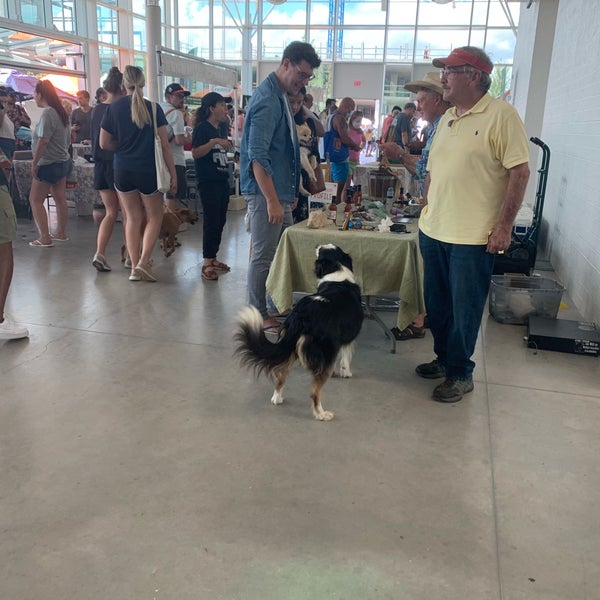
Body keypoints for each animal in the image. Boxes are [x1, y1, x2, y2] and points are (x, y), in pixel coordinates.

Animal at [234, 244, 364, 422]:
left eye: (322, 249)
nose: (316, 245)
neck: (337, 271)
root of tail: (300, 314)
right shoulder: (347, 338)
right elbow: (346, 357)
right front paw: (347, 373)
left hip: (290, 348)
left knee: (281, 375)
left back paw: (277, 398)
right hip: (324, 349)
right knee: (314, 392)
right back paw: (321, 414)